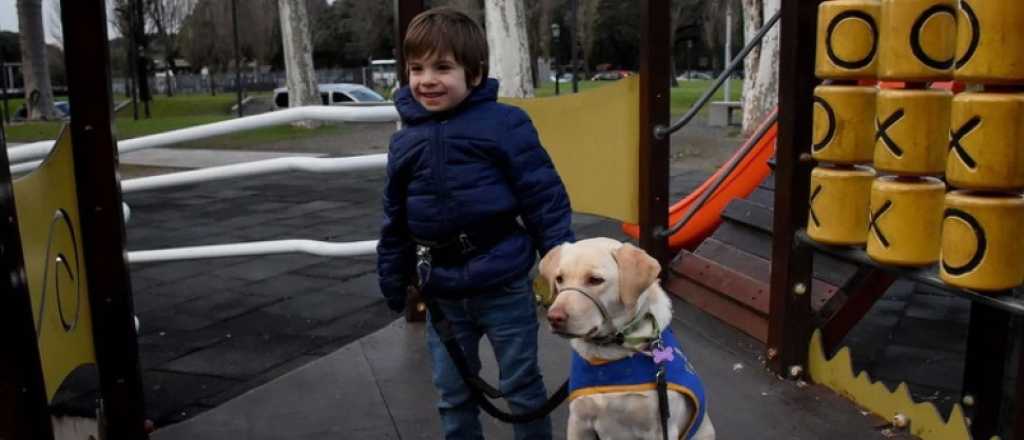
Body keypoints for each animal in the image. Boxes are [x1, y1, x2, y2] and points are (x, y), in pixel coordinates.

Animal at [540, 238, 716, 437]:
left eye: (595, 280)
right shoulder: (578, 422)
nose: (554, 318)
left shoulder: (662, 429)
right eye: (559, 279)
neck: (609, 354)